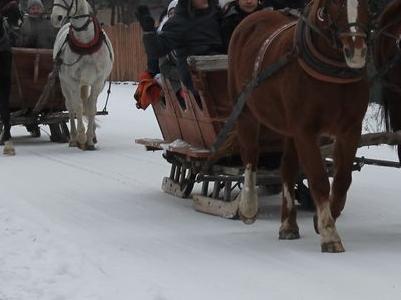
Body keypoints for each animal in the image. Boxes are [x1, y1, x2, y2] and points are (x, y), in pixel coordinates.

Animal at [51, 0, 114, 150]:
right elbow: (78, 107)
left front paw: (90, 139)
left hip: (86, 83)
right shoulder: (73, 80)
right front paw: (81, 136)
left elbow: (91, 108)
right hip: (65, 83)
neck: (86, 44)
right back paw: (73, 138)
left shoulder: (98, 81)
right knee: (70, 106)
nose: (56, 18)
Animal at [228, 0, 368, 252]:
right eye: (335, 4)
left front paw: (323, 218)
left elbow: (342, 180)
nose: (356, 50)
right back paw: (248, 205)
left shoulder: (350, 129)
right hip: (244, 111)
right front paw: (329, 234)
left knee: (287, 168)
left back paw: (288, 225)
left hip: (288, 128)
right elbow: (319, 179)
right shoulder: (304, 130)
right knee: (250, 157)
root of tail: (250, 19)